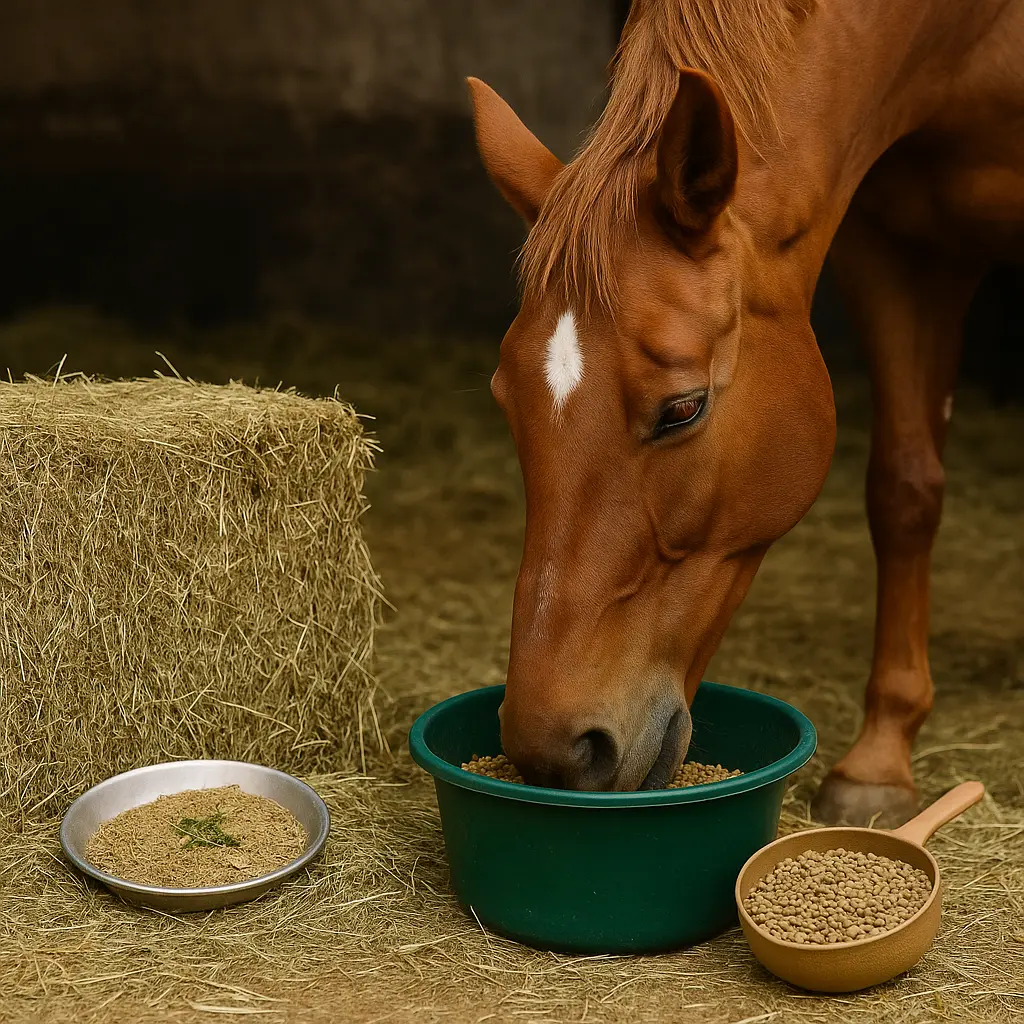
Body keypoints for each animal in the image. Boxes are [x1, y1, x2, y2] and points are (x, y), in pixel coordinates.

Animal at [466, 0, 1023, 826]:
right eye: (508, 399)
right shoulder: (899, 242)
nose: (555, 748)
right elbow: (904, 489)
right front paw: (882, 759)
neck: (964, 34)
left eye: (682, 409)